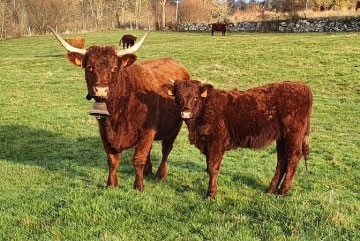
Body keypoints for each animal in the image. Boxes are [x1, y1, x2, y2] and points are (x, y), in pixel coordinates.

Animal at [47, 26, 191, 191]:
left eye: (114, 68)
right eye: (89, 67)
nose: (101, 90)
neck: (117, 113)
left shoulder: (147, 131)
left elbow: (138, 159)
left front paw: (138, 186)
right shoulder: (104, 132)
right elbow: (112, 160)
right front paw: (111, 184)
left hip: (175, 126)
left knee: (166, 149)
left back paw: (160, 174)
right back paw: (148, 170)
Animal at [165, 80, 312, 198]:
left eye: (195, 97)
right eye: (178, 97)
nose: (185, 113)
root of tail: (302, 85)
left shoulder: (216, 143)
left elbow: (212, 168)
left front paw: (211, 194)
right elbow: (209, 168)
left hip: (293, 134)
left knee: (293, 157)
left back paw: (282, 192)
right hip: (281, 138)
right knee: (282, 160)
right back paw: (270, 190)